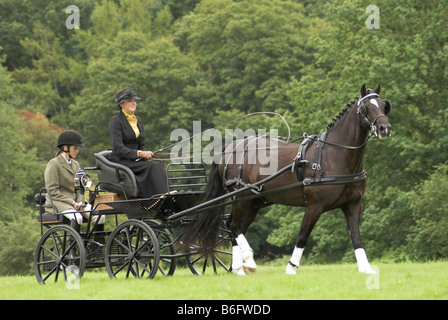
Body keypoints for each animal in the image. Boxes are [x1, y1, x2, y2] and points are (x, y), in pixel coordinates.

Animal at [184, 84, 390, 276]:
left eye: (383, 105)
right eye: (366, 107)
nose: (385, 128)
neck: (334, 154)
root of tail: (229, 148)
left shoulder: (352, 205)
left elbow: (356, 237)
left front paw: (366, 268)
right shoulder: (315, 206)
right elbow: (302, 236)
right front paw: (291, 267)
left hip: (255, 201)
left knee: (236, 227)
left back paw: (239, 268)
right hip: (241, 196)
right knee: (233, 225)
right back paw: (248, 260)